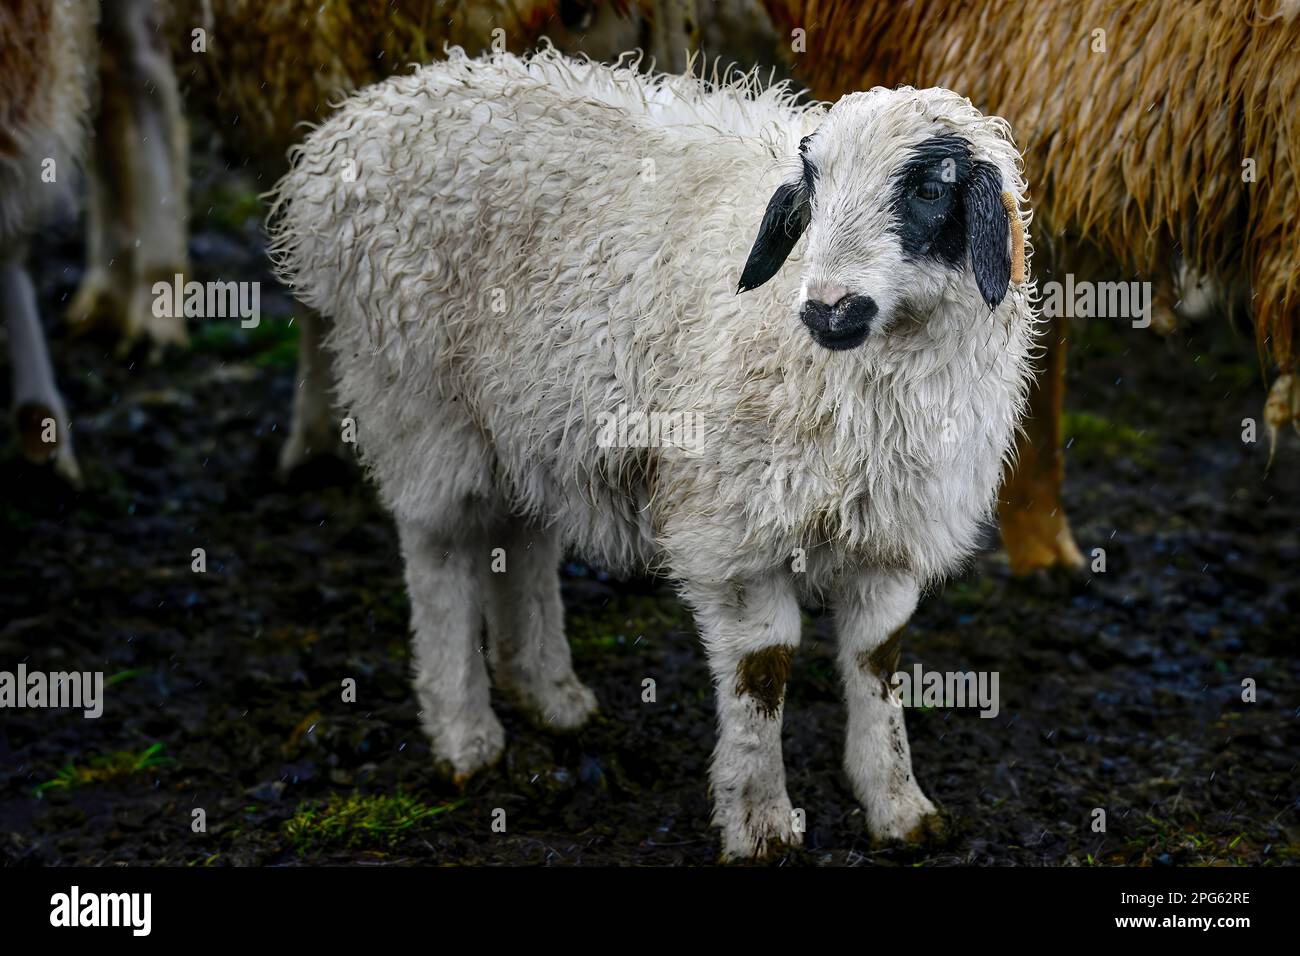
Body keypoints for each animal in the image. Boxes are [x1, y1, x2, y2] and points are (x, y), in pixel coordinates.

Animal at [269, 47, 1040, 859]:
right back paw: (464, 734)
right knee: (440, 550)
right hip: (417, 396)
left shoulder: (890, 533)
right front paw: (761, 824)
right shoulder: (736, 533)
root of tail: (355, 127)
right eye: (815, 187)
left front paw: (898, 808)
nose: (829, 309)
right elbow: (763, 673)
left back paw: (549, 693)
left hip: (527, 414)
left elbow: (877, 661)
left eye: (928, 189)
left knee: (520, 538)